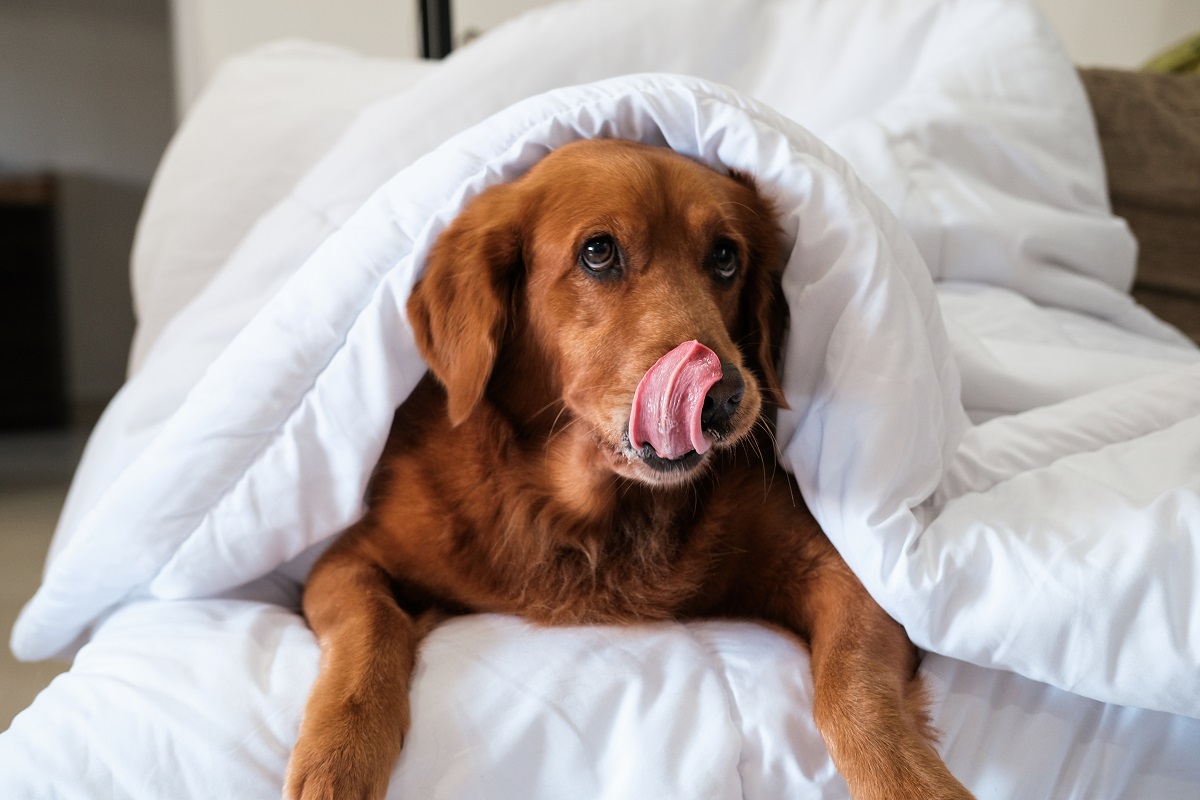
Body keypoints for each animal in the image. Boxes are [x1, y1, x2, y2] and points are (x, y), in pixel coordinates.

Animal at [283, 139, 974, 800]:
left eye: (726, 258)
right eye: (598, 252)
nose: (723, 397)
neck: (588, 514)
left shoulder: (850, 576)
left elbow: (851, 689)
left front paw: (913, 780)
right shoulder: (344, 560)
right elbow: (371, 630)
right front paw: (336, 757)